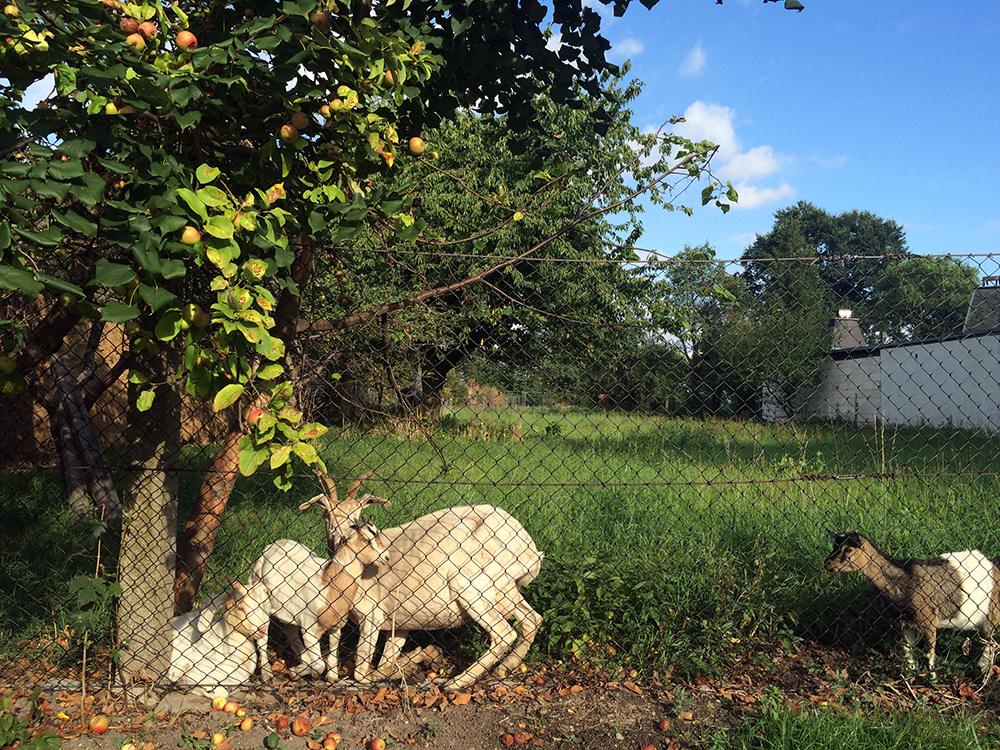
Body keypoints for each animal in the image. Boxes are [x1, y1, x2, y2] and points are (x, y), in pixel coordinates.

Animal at [300, 472, 544, 692]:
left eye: (357, 515)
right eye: (327, 515)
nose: (341, 536)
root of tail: (528, 547)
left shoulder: (372, 616)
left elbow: (361, 674)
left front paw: (419, 660)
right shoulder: (398, 623)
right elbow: (386, 661)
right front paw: (414, 663)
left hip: (471, 587)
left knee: (504, 633)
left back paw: (457, 682)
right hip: (505, 589)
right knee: (532, 619)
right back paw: (504, 668)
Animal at [820, 528, 1000, 680]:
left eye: (848, 550)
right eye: (834, 546)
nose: (827, 563)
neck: (904, 579)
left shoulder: (929, 621)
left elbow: (929, 653)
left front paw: (932, 679)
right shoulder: (905, 622)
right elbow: (907, 650)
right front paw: (909, 675)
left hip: (992, 612)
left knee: (991, 641)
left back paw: (984, 669)